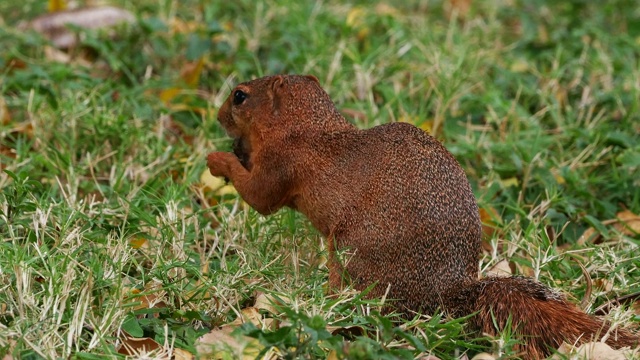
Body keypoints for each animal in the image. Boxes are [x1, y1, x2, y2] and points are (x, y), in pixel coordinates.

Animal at [208, 74, 636, 358]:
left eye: (240, 96)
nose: (218, 117)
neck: (305, 127)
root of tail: (444, 293)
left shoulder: (282, 163)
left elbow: (260, 197)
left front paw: (219, 160)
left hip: (350, 254)